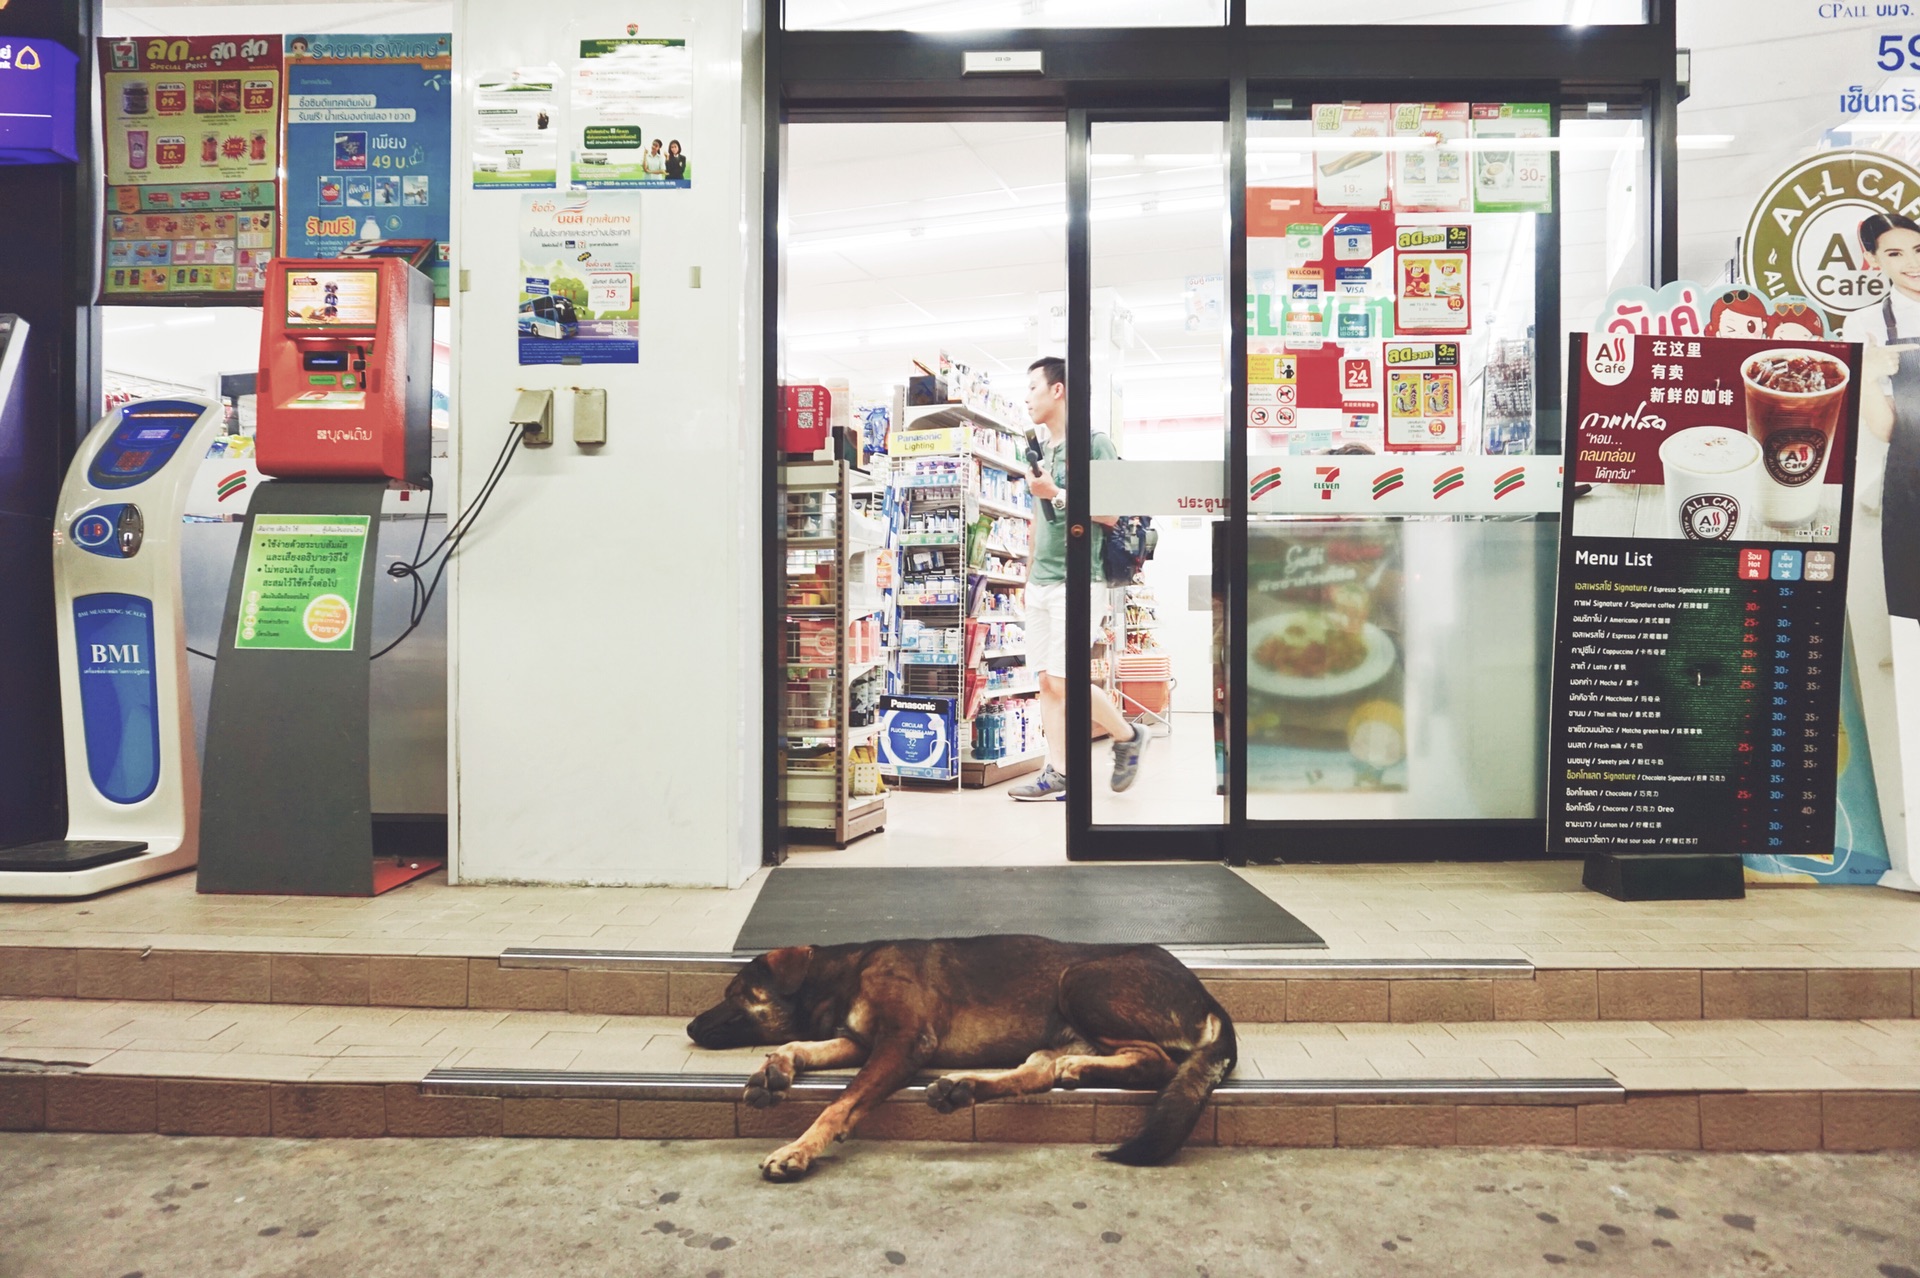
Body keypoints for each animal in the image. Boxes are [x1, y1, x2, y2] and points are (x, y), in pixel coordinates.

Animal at [683, 932, 1236, 1182]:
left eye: (737, 993)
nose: (688, 1027)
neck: (846, 973)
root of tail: (1209, 999)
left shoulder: (903, 1042)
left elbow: (839, 1104)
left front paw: (798, 1149)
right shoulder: (862, 1042)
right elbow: (797, 1045)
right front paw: (772, 1071)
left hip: (1080, 981)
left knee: (1158, 1061)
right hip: (1060, 1026)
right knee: (1040, 1070)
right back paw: (966, 1086)